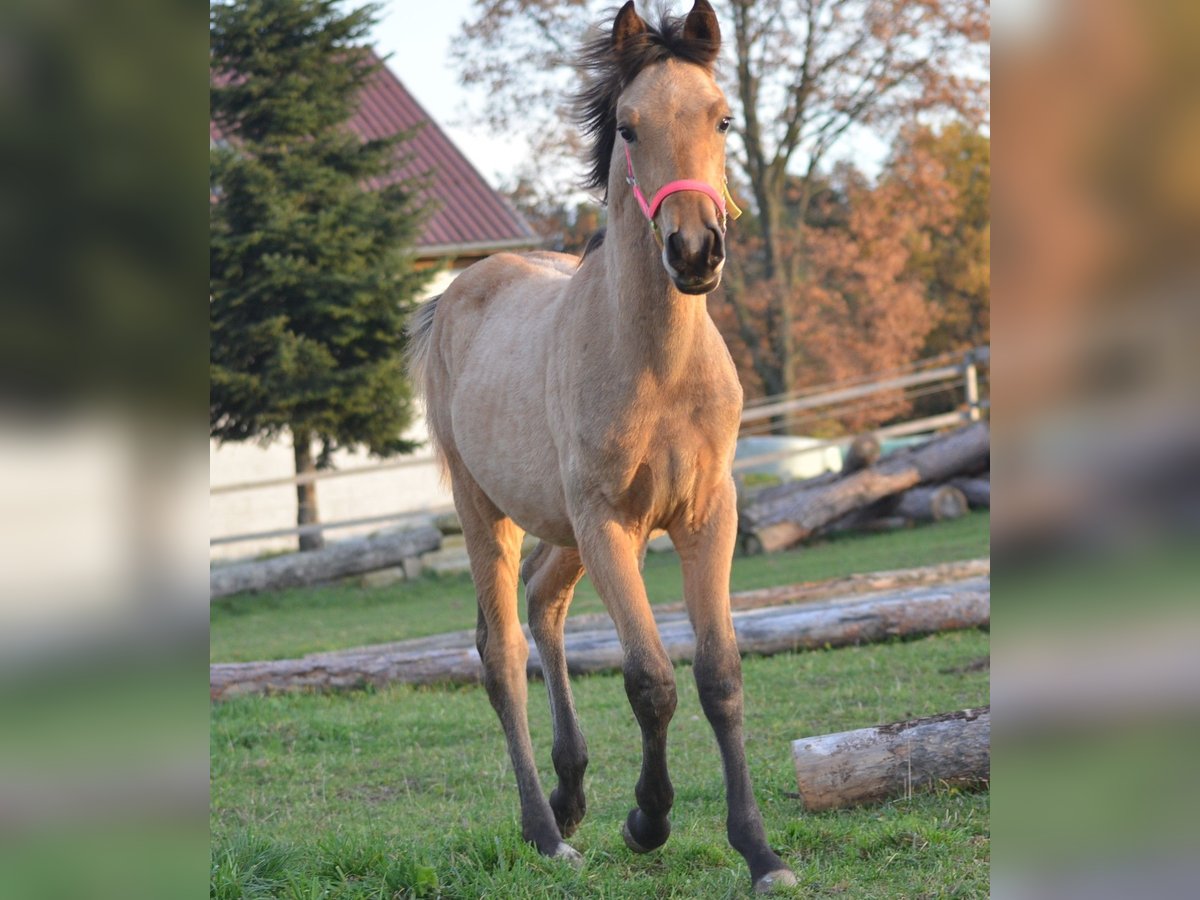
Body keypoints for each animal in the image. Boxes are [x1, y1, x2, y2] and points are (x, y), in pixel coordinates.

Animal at [410, 0, 796, 897]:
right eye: (627, 126)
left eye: (722, 117)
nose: (694, 252)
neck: (655, 362)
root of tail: (456, 293)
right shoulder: (610, 525)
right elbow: (650, 679)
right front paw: (647, 821)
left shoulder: (706, 516)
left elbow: (720, 677)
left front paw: (760, 852)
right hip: (489, 511)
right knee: (502, 652)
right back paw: (547, 831)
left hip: (563, 532)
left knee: (542, 604)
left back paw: (571, 790)